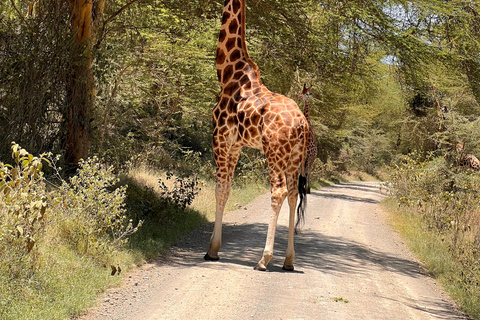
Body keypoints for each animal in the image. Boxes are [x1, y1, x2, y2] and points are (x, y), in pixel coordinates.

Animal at [202, 0, 308, 272]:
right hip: (294, 158)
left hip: (274, 153)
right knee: (293, 194)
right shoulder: (235, 145)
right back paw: (289, 260)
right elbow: (227, 188)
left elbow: (219, 189)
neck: (227, 74)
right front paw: (213, 245)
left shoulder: (219, 138)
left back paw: (264, 258)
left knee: (279, 192)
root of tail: (302, 125)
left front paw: (212, 249)